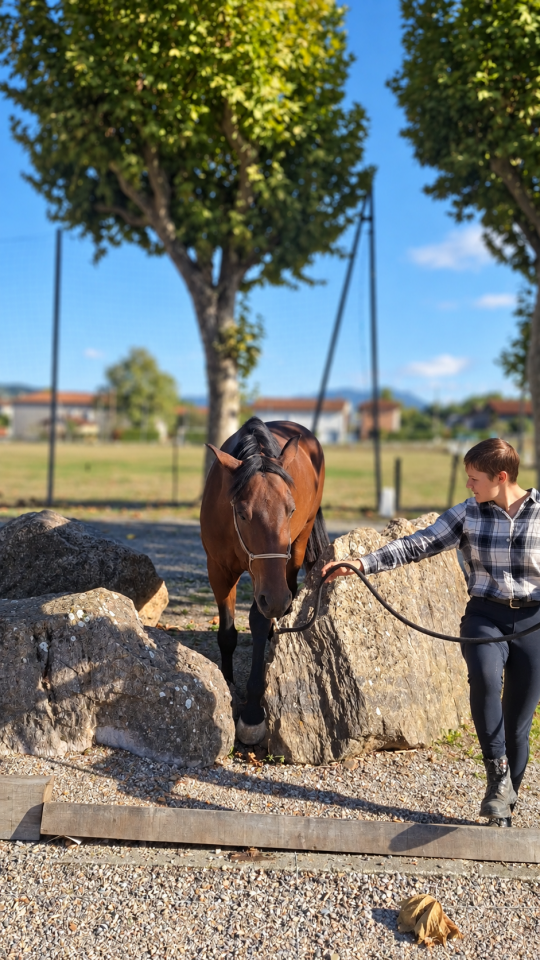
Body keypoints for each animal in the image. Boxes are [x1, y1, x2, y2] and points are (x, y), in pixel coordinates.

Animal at [200, 416, 328, 745]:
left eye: (290, 509)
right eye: (243, 513)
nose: (277, 601)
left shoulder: (271, 585)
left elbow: (258, 621)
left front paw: (252, 713)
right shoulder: (219, 571)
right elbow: (227, 633)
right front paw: (227, 683)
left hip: (297, 550)